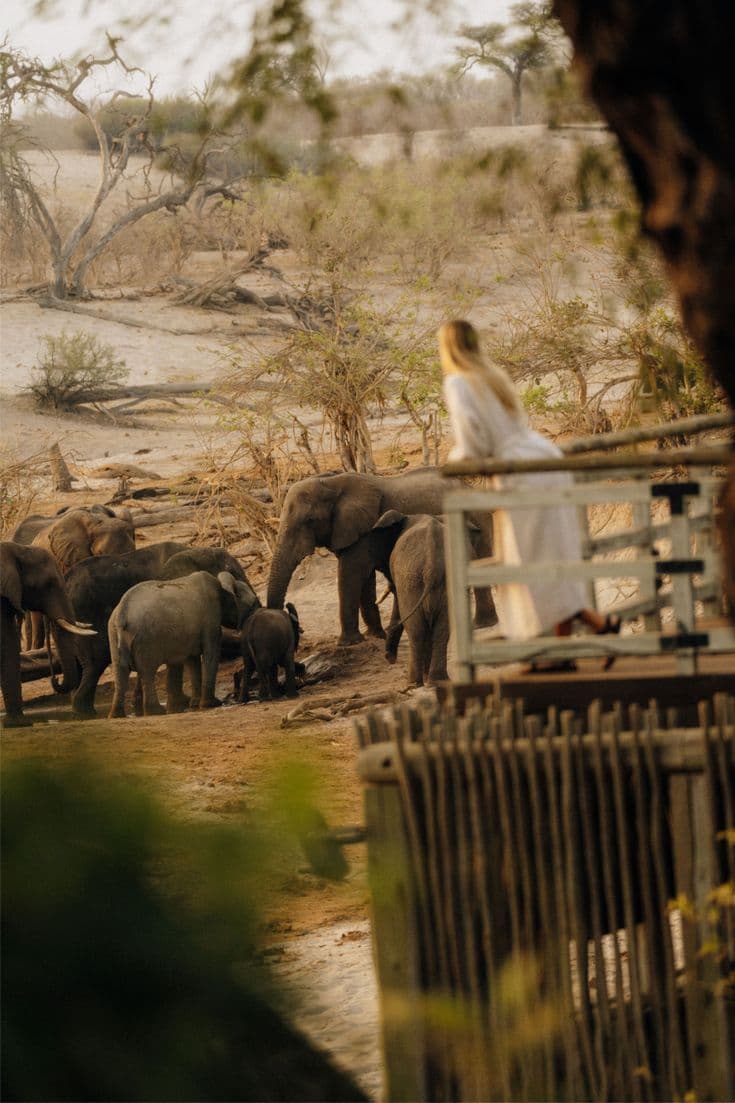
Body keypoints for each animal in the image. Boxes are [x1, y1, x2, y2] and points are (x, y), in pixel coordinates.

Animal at [108, 570, 260, 717]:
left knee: (120, 673)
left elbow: (192, 659)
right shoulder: (210, 618)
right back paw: (155, 712)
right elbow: (211, 653)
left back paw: (116, 715)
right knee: (147, 672)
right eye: (253, 603)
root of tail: (122, 613)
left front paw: (195, 705)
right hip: (145, 637)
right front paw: (211, 704)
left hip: (113, 635)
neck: (221, 584)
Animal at [266, 468, 496, 645]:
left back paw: (481, 625)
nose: (299, 629)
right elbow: (365, 579)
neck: (331, 482)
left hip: (479, 520)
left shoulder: (364, 528)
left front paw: (348, 643)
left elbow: (351, 574)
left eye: (310, 520)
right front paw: (375, 636)